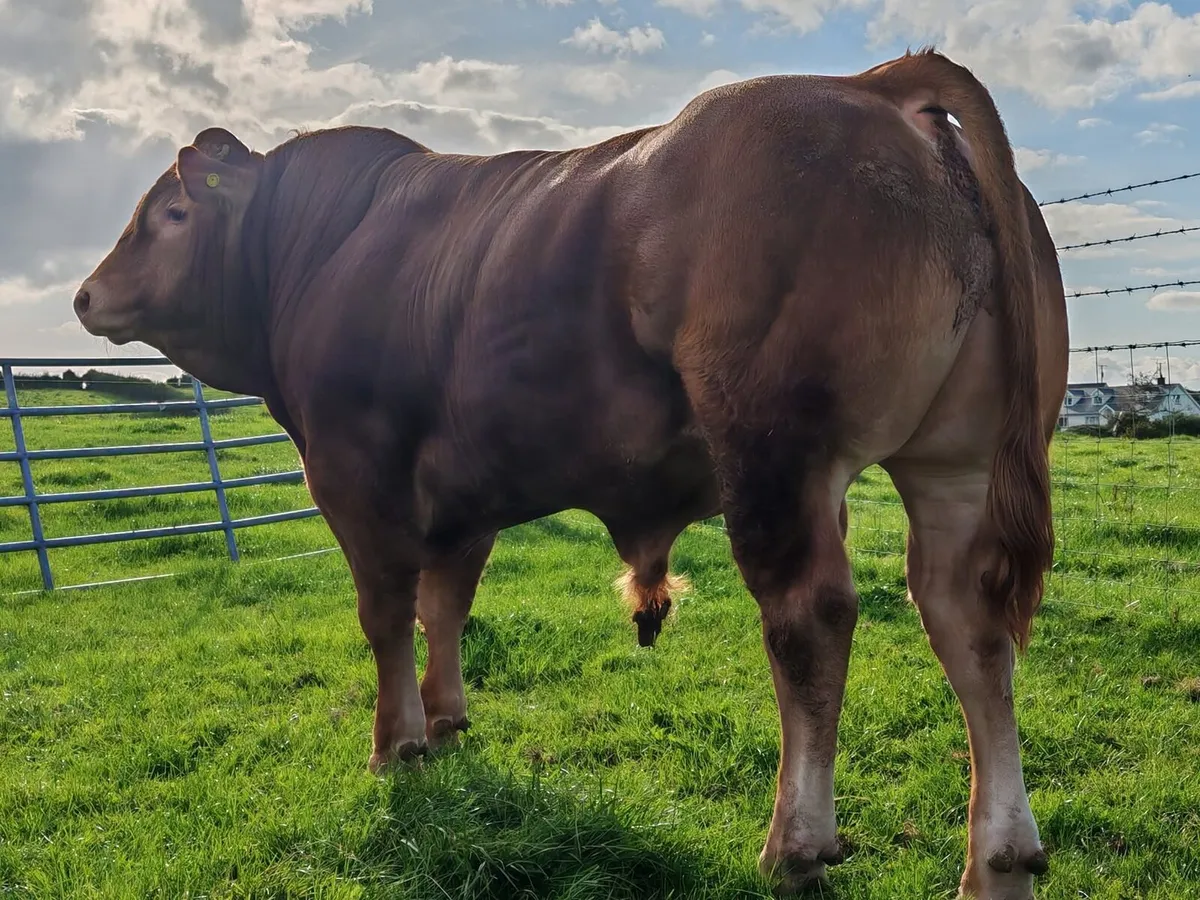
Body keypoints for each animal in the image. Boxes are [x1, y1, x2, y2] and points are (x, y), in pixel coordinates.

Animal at [73, 47, 1068, 899]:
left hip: (777, 453)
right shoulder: (462, 497)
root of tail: (872, 86)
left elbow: (386, 613)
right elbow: (446, 607)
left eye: (171, 214)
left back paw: (796, 844)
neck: (322, 249)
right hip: (955, 465)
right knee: (969, 623)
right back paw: (1000, 858)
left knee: (809, 617)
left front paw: (394, 746)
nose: (85, 294)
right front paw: (446, 723)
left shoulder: (356, 473)